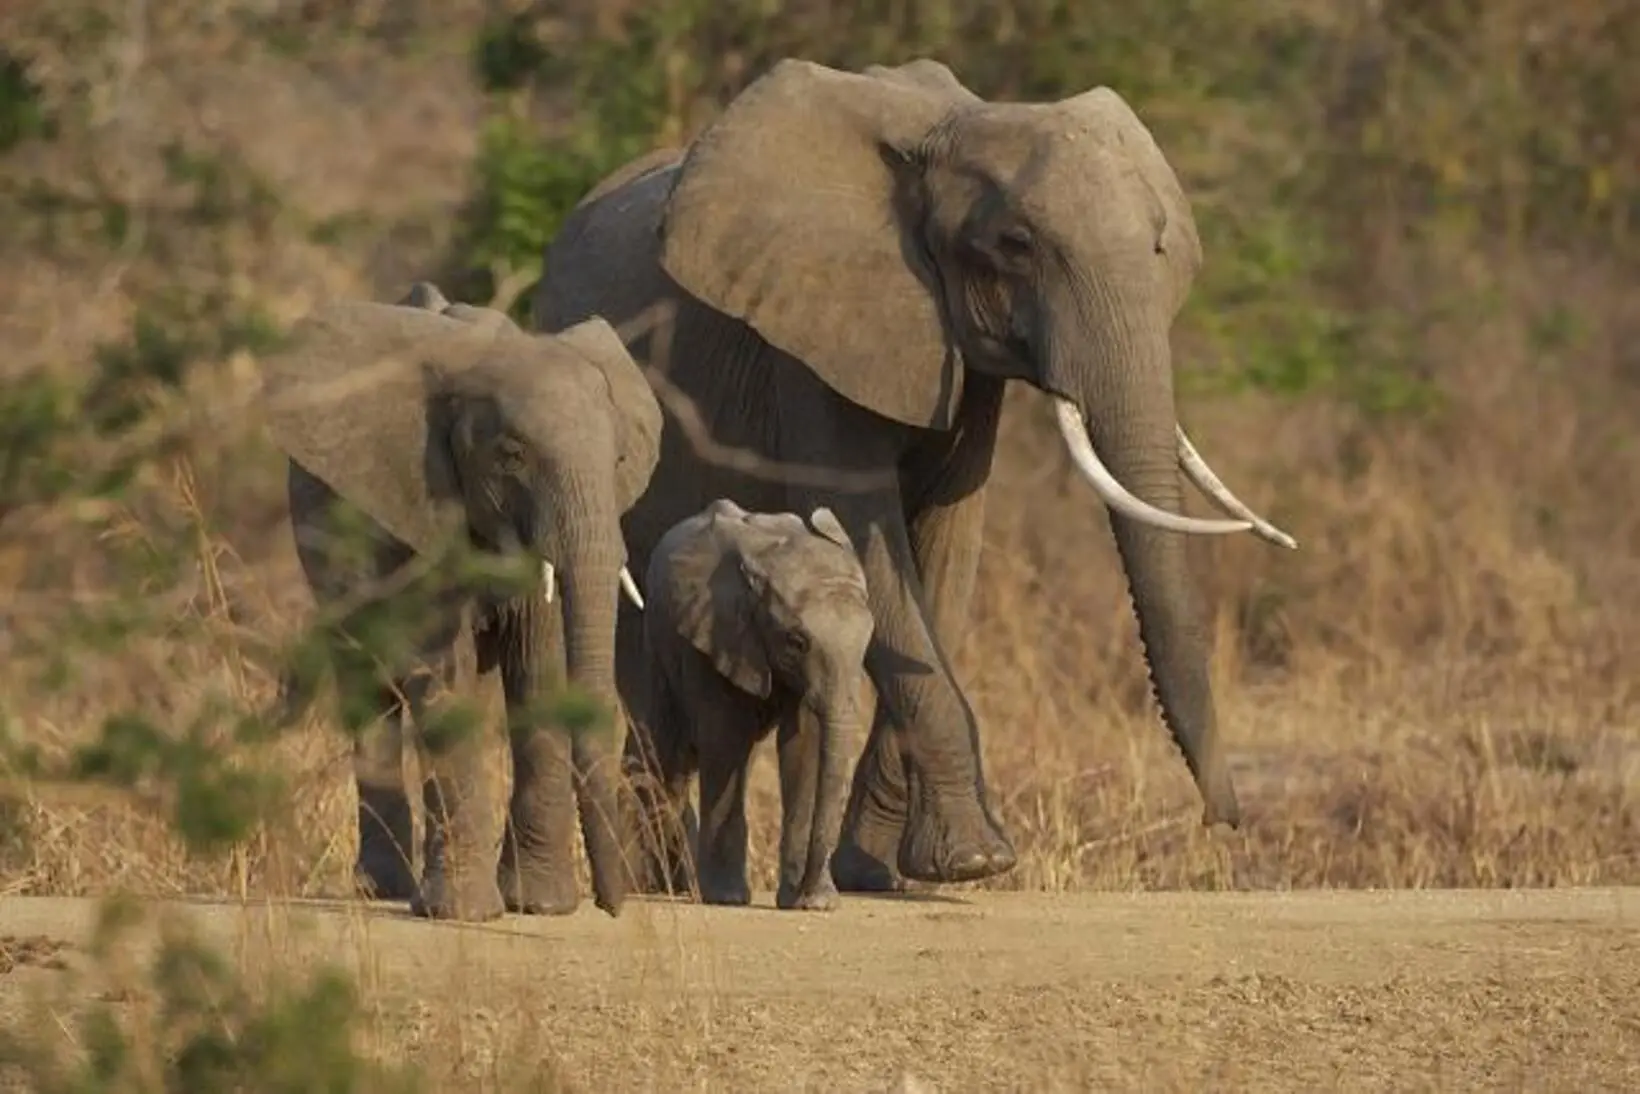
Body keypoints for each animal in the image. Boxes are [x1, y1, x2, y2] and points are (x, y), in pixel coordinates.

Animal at [260, 282, 663, 920]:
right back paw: (384, 889)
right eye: (512, 455)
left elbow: (539, 671)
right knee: (368, 684)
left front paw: (542, 906)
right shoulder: (422, 505)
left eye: (620, 460)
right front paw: (468, 914)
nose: (612, 906)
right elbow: (443, 674)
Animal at [638, 498, 874, 911]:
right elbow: (726, 743)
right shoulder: (713, 635)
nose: (814, 895)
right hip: (658, 642)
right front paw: (728, 898)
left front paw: (807, 902)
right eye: (797, 642)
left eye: (867, 640)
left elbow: (804, 746)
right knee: (668, 755)